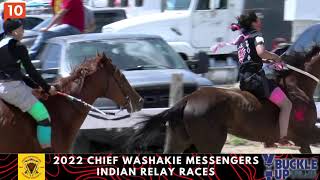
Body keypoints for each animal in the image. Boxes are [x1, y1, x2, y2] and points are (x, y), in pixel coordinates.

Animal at [129, 48, 320, 154]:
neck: (298, 87)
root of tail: (187, 100)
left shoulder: (304, 138)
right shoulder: (306, 135)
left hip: (180, 141)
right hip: (210, 143)